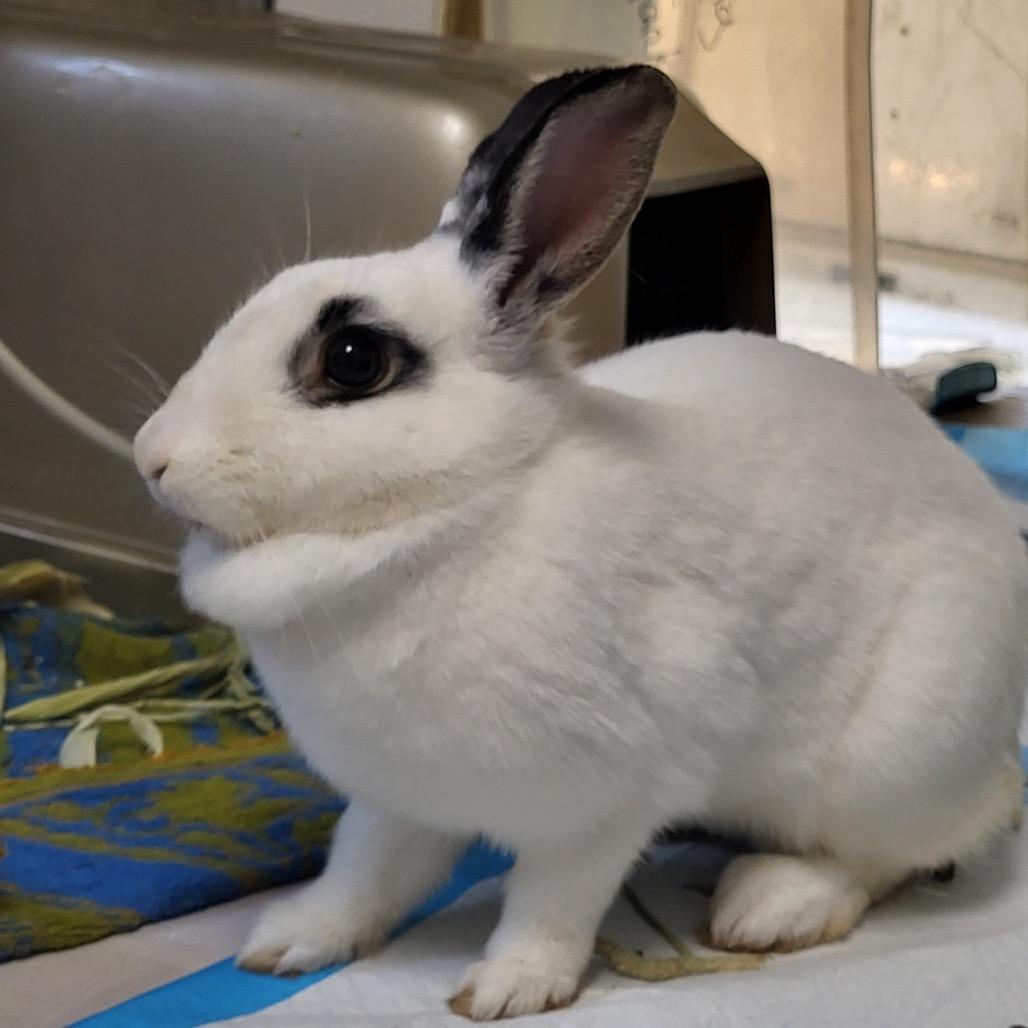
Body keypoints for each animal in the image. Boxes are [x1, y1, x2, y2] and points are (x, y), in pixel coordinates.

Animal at [134, 65, 1026, 1021]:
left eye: (351, 359)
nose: (152, 456)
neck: (466, 504)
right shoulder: (398, 797)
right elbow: (363, 870)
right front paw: (289, 943)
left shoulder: (606, 803)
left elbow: (551, 902)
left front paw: (507, 989)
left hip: (891, 761)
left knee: (890, 856)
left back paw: (771, 906)